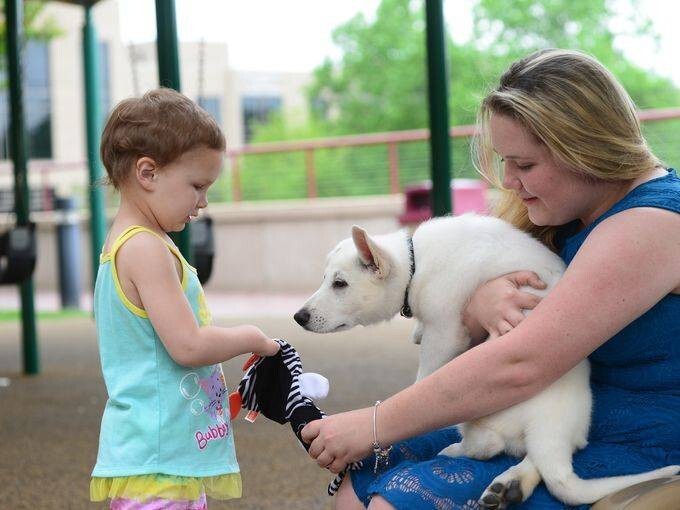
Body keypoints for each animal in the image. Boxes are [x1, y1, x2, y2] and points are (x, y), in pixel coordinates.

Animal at [294, 214, 680, 506]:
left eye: (340, 284)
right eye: (327, 279)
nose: (298, 317)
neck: (417, 263)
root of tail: (549, 428)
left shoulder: (445, 332)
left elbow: (423, 377)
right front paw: (415, 330)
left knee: (487, 446)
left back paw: (455, 451)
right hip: (567, 434)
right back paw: (512, 482)